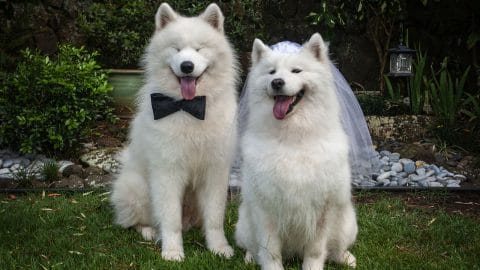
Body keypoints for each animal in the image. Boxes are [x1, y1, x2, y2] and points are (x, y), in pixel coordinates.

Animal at [110, 2, 238, 262]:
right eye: (176, 49)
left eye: (199, 49)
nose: (187, 66)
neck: (188, 107)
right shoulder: (167, 172)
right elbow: (170, 220)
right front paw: (172, 251)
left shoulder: (215, 172)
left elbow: (215, 219)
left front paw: (219, 247)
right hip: (138, 188)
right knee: (137, 221)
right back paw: (150, 232)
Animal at [234, 34, 358, 270]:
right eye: (272, 72)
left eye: (296, 71)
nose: (277, 83)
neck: (292, 137)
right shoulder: (266, 207)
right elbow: (270, 250)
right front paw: (271, 267)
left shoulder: (322, 208)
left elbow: (316, 250)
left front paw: (312, 267)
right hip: (244, 223)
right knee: (251, 246)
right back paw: (249, 257)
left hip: (348, 223)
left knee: (336, 248)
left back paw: (346, 258)